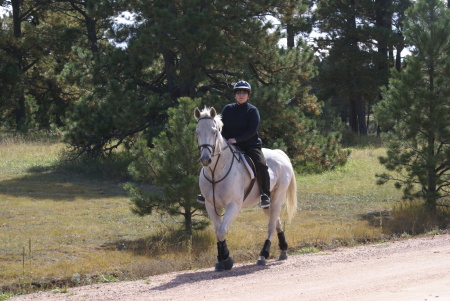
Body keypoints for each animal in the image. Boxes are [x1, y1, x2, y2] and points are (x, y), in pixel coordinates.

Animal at [195, 106, 298, 270]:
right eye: (197, 132)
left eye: (214, 132)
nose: (206, 159)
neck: (216, 171)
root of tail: (280, 153)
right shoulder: (210, 205)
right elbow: (217, 231)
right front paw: (220, 260)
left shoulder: (233, 205)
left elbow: (222, 231)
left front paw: (227, 259)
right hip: (267, 203)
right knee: (276, 221)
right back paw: (283, 249)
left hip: (278, 196)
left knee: (271, 225)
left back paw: (263, 255)